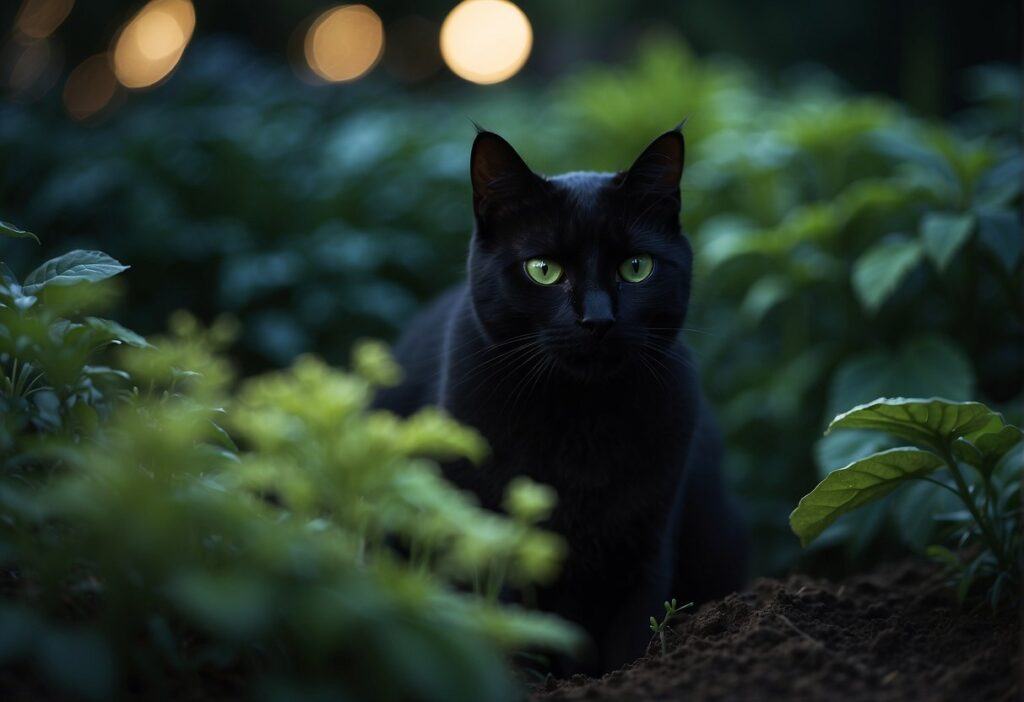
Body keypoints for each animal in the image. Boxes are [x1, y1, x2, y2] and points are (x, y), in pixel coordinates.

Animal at [372, 127, 749, 675]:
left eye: (636, 267)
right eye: (543, 270)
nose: (597, 319)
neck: (580, 419)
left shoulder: (646, 544)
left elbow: (632, 639)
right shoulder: (486, 532)